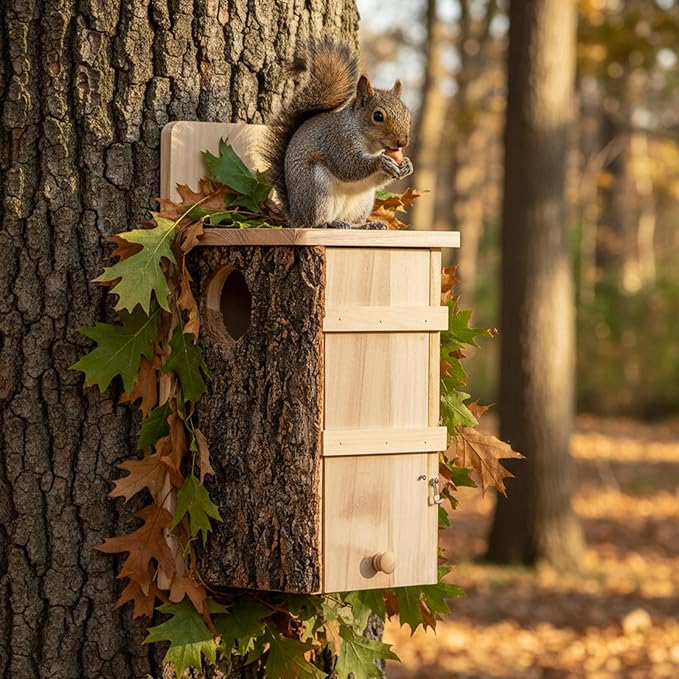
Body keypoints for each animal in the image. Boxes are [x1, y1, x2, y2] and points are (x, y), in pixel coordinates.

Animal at [261, 39, 413, 229]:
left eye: (408, 116)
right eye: (378, 116)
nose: (402, 143)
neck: (371, 145)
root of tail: (296, 216)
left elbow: (378, 180)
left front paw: (407, 165)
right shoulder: (337, 140)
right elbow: (347, 165)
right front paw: (381, 162)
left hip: (362, 203)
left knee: (353, 223)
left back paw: (367, 225)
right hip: (316, 190)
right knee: (314, 223)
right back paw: (329, 224)